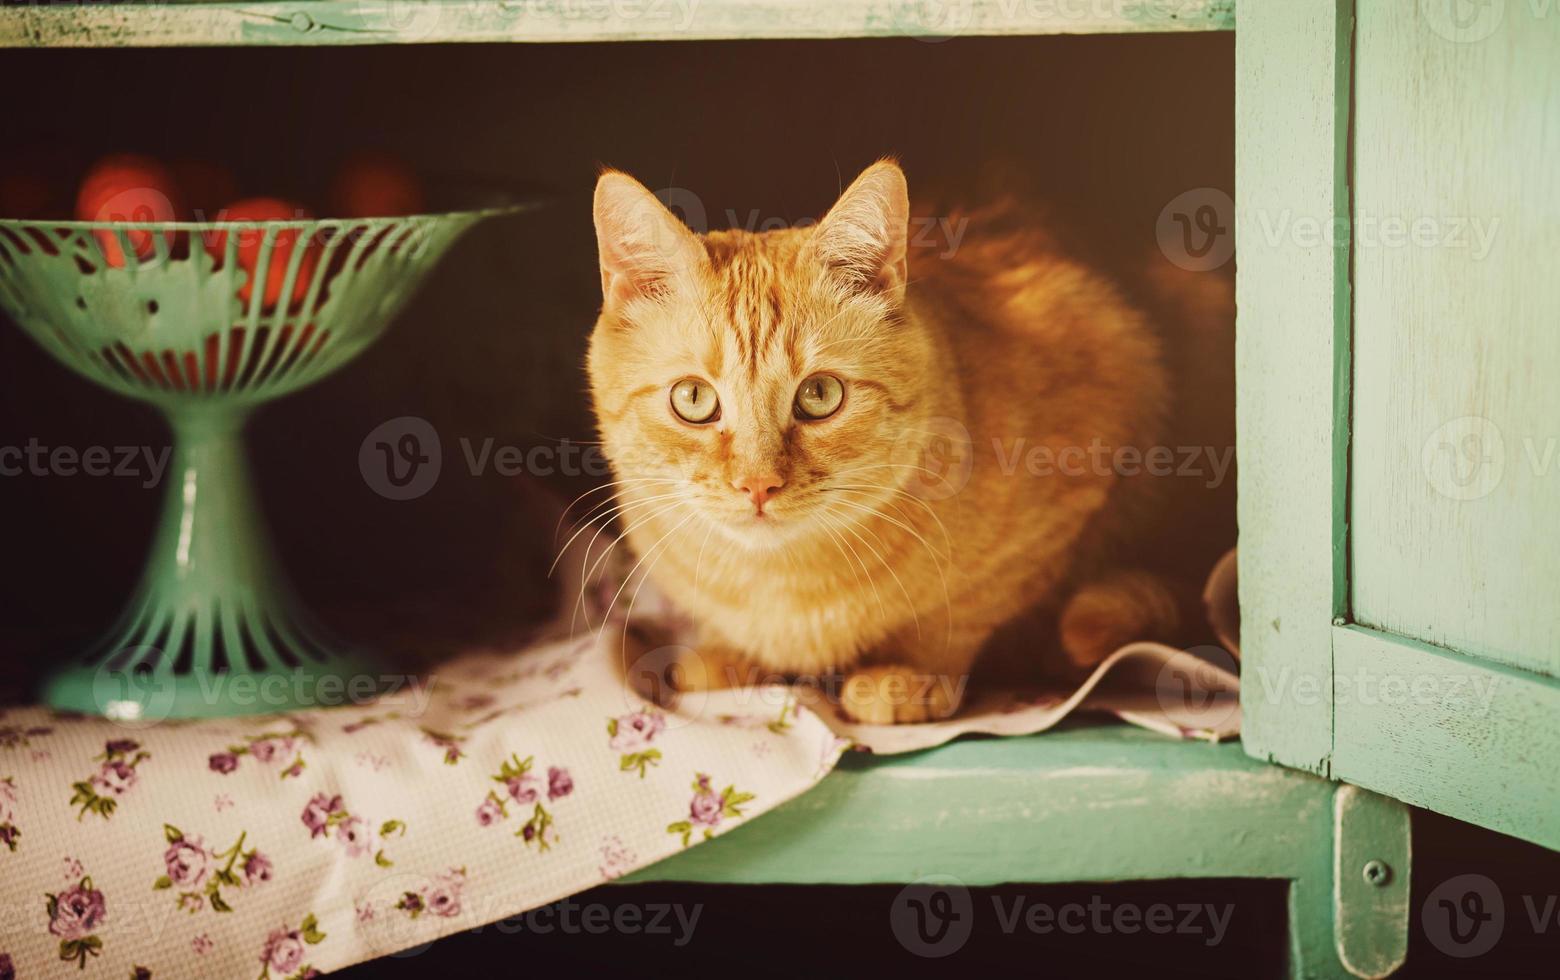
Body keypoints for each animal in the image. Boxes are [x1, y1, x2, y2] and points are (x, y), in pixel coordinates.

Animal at [589, 160, 1173, 724]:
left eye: (820, 394)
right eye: (693, 398)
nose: (758, 484)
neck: (782, 584)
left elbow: (960, 616)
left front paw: (908, 674)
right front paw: (726, 653)